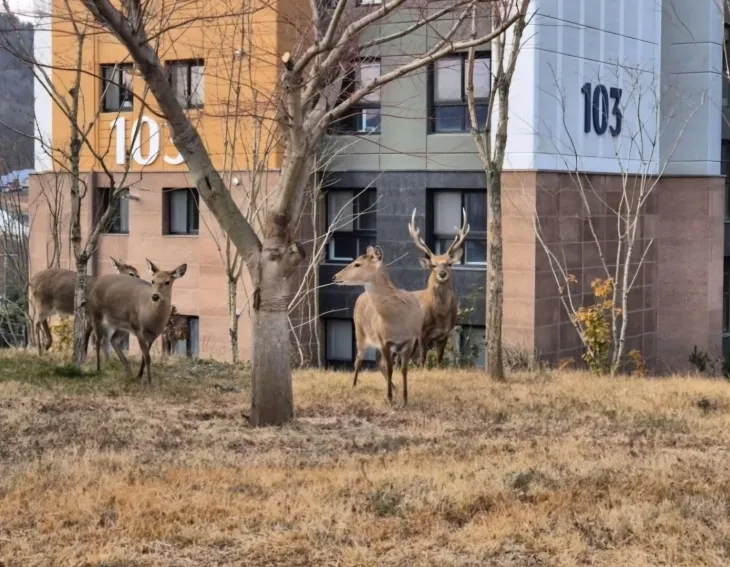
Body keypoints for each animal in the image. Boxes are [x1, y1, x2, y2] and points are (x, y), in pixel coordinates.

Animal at [332, 246, 420, 406]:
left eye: (357, 264)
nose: (335, 277)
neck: (397, 320)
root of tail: (360, 296)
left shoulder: (411, 340)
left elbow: (404, 369)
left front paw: (405, 399)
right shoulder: (384, 340)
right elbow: (390, 368)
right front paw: (390, 399)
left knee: (379, 363)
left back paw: (395, 390)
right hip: (360, 333)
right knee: (358, 360)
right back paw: (354, 386)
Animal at [404, 209, 466, 368]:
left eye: (449, 263)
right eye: (433, 265)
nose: (442, 274)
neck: (440, 314)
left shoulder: (445, 333)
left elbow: (439, 360)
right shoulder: (422, 332)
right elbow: (422, 359)